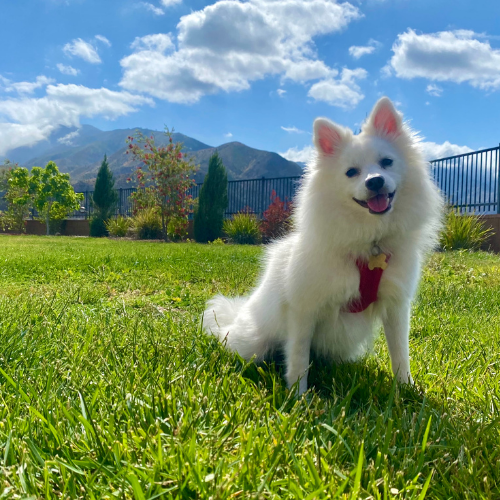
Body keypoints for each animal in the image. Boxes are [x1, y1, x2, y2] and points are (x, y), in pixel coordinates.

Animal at [202, 96, 442, 394]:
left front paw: (406, 388)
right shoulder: (303, 309)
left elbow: (399, 352)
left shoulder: (396, 306)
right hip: (254, 343)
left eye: (387, 162)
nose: (375, 181)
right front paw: (298, 396)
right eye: (351, 172)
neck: (368, 242)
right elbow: (298, 358)